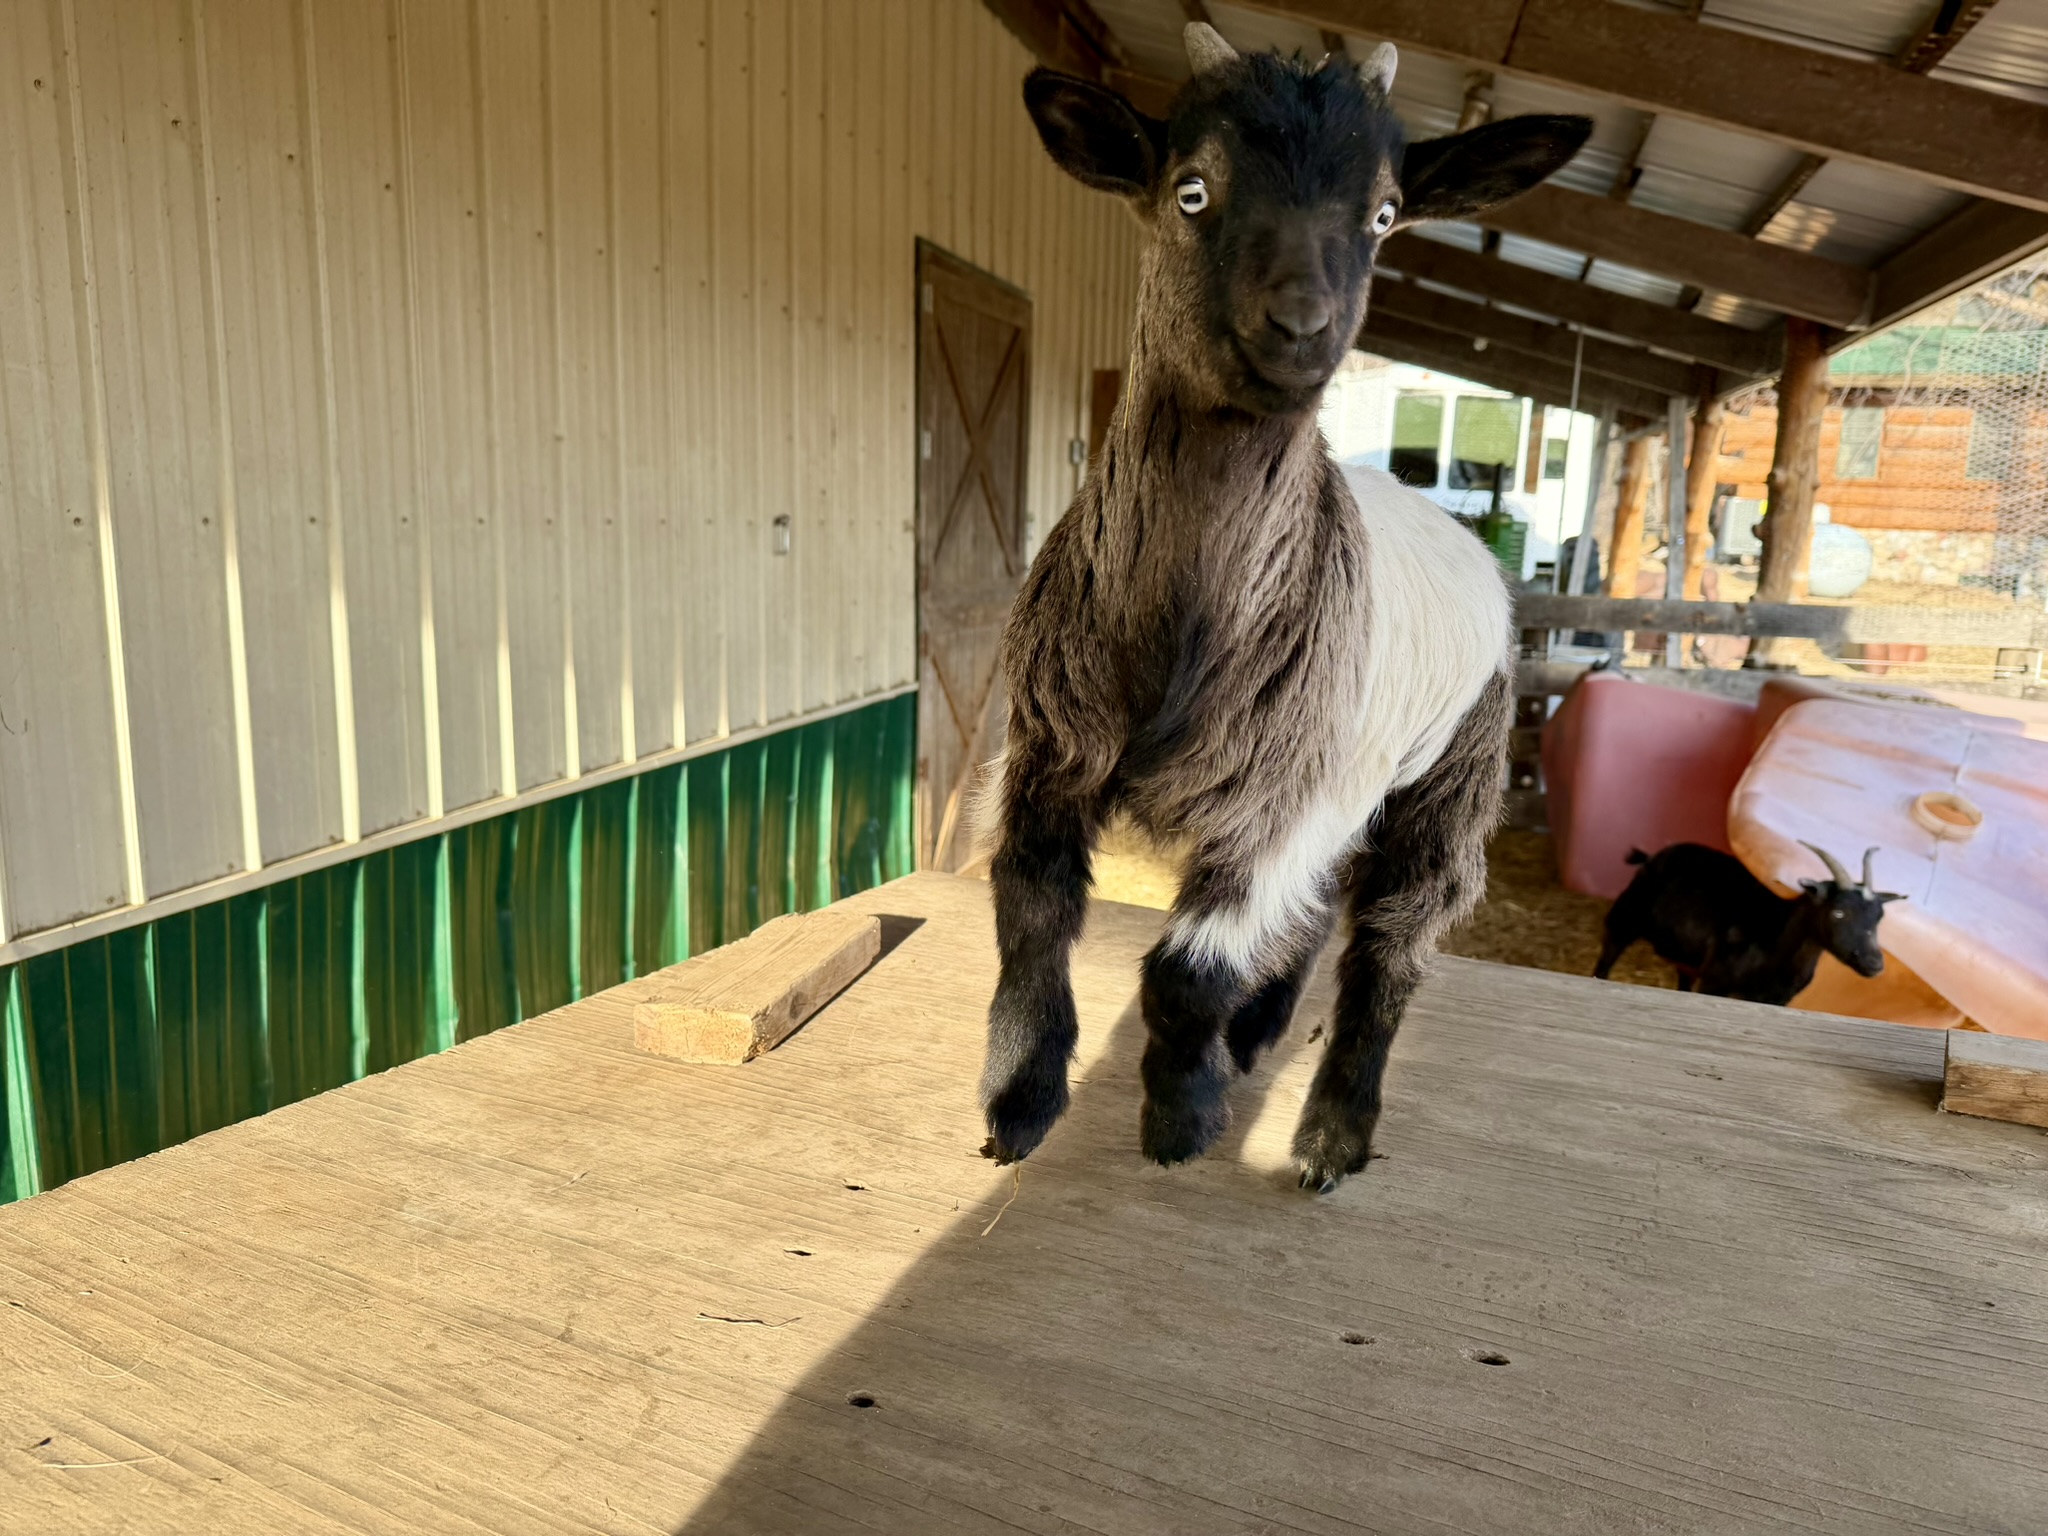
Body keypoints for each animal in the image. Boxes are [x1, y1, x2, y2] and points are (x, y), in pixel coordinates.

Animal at [977, 24, 1591, 1193]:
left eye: (1386, 214)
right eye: (1189, 190)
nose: (1300, 328)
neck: (1180, 639)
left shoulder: (1279, 798)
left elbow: (1181, 972)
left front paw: (1179, 1118)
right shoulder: (1049, 747)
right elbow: (1031, 909)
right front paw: (1017, 1102)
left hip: (1452, 769)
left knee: (1390, 941)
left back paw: (1328, 1134)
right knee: (1309, 920)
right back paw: (1260, 1032)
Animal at [1594, 842, 1904, 1005]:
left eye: (1879, 916)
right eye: (1838, 912)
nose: (1875, 963)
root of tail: (1652, 856)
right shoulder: (1715, 983)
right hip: (1625, 917)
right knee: (1607, 956)